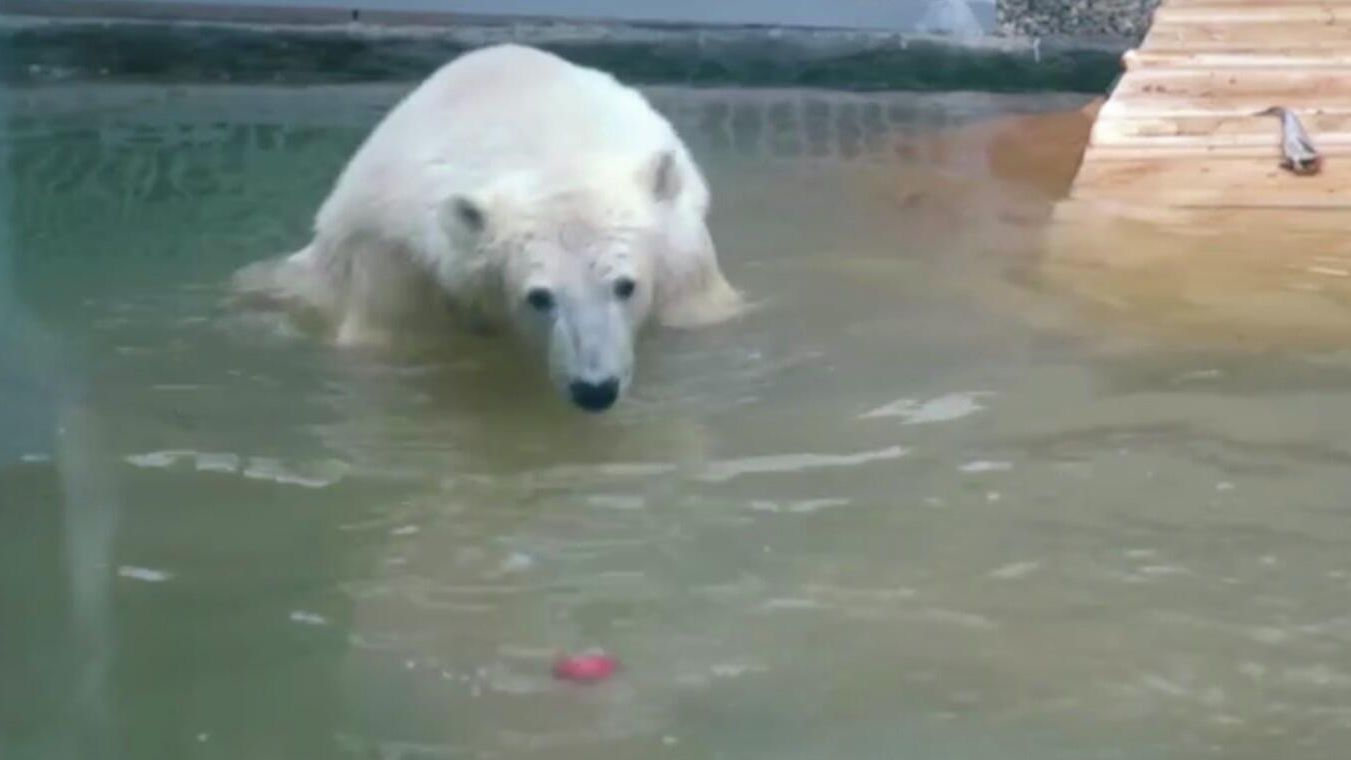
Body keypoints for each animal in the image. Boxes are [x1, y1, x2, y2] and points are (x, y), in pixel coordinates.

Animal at [233, 44, 741, 412]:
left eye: (625, 285)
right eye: (539, 297)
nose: (594, 389)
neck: (550, 148)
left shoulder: (684, 252)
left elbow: (700, 313)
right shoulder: (396, 257)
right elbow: (392, 339)